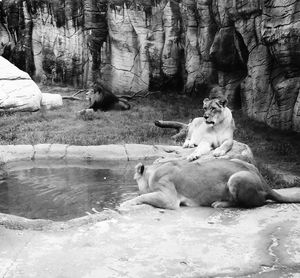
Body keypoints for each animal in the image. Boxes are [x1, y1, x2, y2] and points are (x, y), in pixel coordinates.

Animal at [120, 159, 300, 208]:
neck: (154, 170)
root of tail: (264, 181)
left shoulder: (169, 198)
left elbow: (145, 197)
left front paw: (126, 202)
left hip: (236, 178)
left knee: (250, 204)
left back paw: (219, 204)